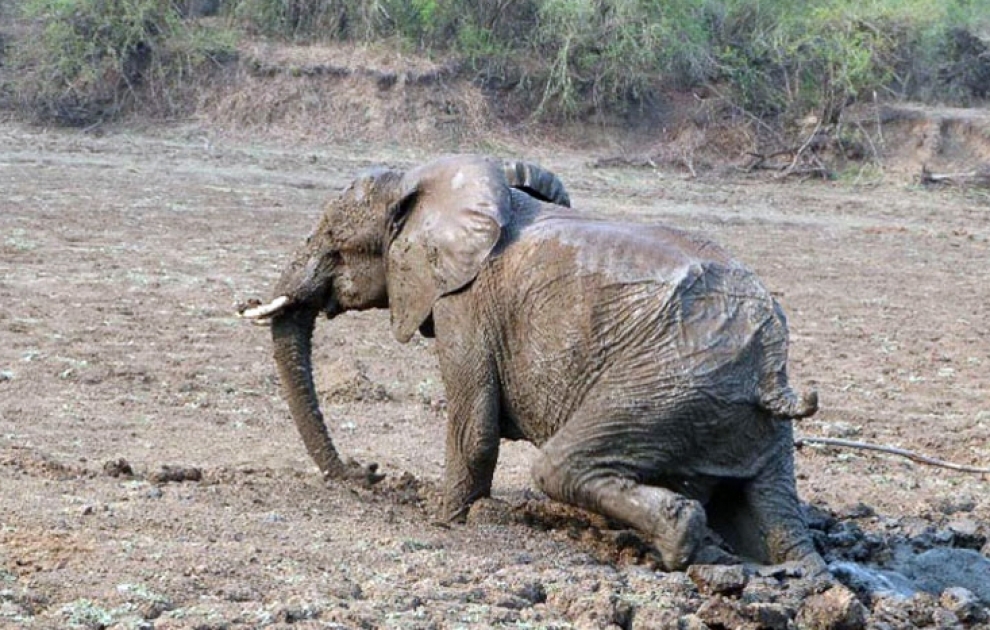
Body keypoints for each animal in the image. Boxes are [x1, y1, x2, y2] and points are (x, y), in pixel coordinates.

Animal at [240, 154, 825, 573]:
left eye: (332, 241)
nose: (367, 472)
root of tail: (771, 369)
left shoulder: (465, 302)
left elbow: (473, 431)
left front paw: (445, 521)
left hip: (670, 383)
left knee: (559, 467)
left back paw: (677, 544)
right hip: (742, 416)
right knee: (772, 514)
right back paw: (800, 576)